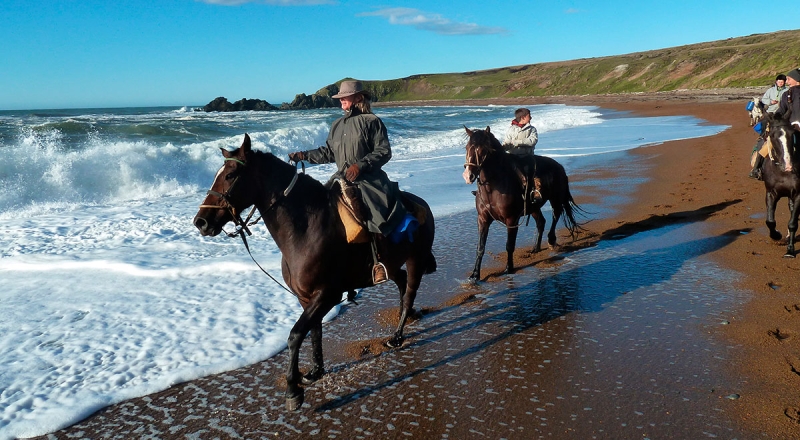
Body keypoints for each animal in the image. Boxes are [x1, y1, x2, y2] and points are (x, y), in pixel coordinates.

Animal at [193, 133, 438, 410]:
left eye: (231, 175)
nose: (201, 222)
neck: (306, 229)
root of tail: (422, 204)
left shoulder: (327, 295)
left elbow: (296, 334)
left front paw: (293, 389)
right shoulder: (306, 297)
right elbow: (314, 331)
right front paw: (315, 371)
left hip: (416, 259)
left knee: (409, 292)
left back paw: (397, 336)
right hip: (392, 264)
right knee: (402, 284)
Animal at [462, 126, 580, 282]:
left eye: (483, 149)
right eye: (467, 147)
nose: (468, 175)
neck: (494, 186)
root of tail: (559, 166)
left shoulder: (512, 219)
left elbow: (509, 245)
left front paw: (509, 268)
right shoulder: (483, 219)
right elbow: (480, 247)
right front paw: (475, 274)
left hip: (555, 198)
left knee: (556, 215)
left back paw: (551, 240)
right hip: (534, 207)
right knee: (541, 221)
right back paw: (535, 248)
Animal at [760, 113, 800, 256]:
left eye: (792, 134)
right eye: (772, 135)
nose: (788, 165)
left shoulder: (798, 194)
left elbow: (793, 223)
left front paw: (790, 250)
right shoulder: (771, 193)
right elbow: (770, 221)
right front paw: (776, 235)